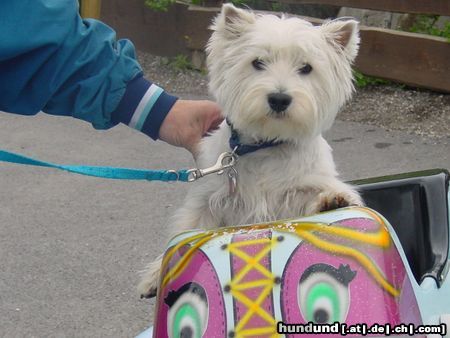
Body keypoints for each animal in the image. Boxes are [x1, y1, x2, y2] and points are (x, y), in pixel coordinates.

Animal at [137, 3, 362, 298]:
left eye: (306, 68)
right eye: (257, 62)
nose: (279, 99)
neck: (266, 146)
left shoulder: (302, 189)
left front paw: (333, 201)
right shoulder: (208, 201)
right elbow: (189, 229)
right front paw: (155, 274)